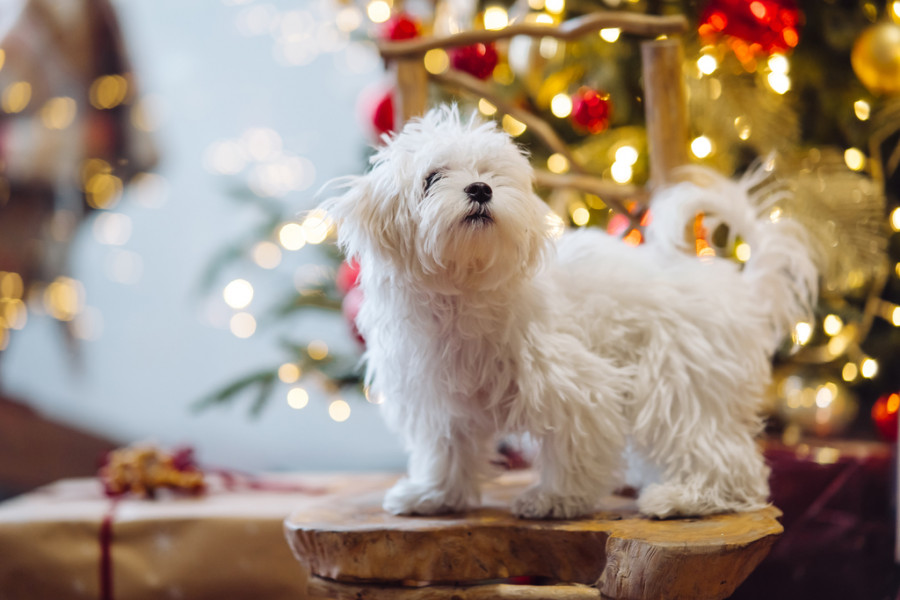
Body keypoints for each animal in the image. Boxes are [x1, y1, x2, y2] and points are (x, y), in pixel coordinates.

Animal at [320, 105, 820, 516]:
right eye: (431, 178)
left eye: (490, 173)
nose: (480, 189)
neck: (466, 287)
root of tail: (740, 289)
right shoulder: (439, 396)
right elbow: (446, 450)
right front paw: (435, 496)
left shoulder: (576, 386)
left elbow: (573, 447)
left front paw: (556, 499)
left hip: (678, 383)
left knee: (727, 460)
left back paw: (684, 499)